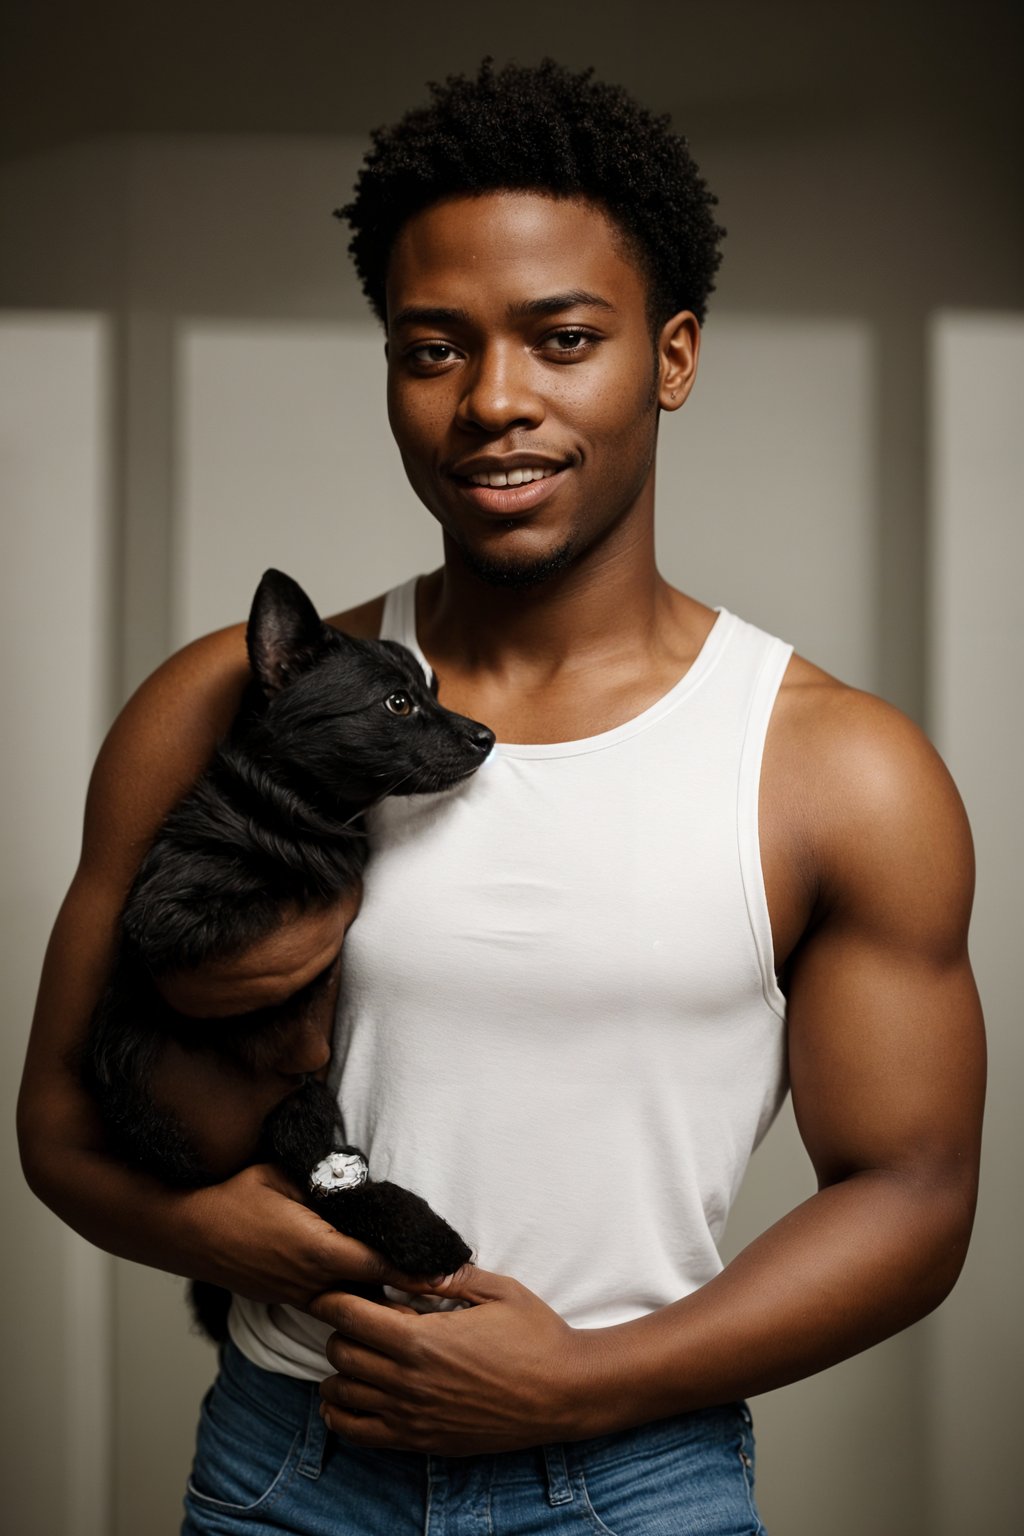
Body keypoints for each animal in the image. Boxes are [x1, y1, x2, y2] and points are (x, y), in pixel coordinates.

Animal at [84, 571, 491, 1339]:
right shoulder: (172, 924)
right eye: (399, 703)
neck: (290, 803)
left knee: (335, 1182)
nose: (487, 734)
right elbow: (291, 898)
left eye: (436, 689)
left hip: (298, 1109)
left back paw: (414, 1232)